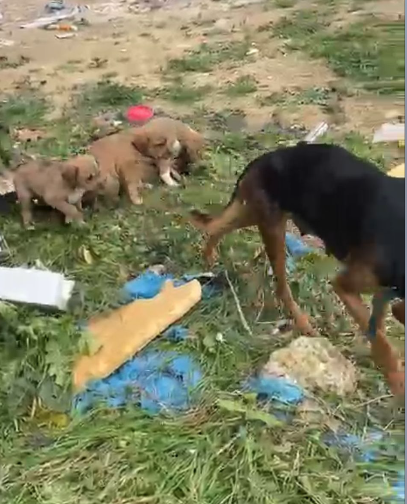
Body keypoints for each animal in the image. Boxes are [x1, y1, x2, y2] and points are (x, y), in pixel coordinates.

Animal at [190, 142, 405, 397]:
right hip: (272, 227)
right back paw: (303, 323)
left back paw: (209, 255)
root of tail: (262, 159)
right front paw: (397, 381)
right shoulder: (345, 285)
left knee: (216, 226)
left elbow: (377, 329)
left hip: (253, 213)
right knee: (281, 288)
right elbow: (382, 341)